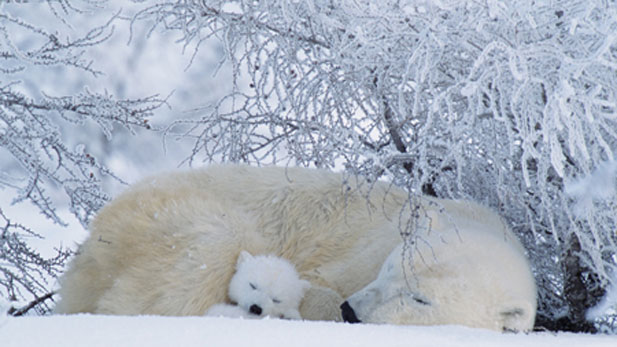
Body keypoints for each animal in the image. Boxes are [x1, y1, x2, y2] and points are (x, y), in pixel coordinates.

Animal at [54, 165, 536, 332]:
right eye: (388, 270)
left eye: (420, 298)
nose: (352, 311)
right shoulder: (360, 251)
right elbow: (314, 283)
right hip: (165, 215)